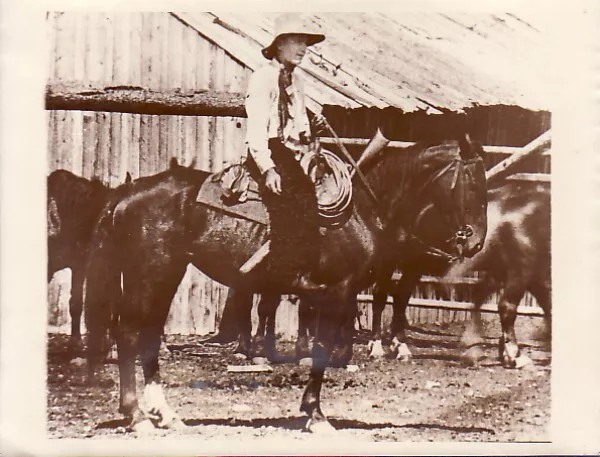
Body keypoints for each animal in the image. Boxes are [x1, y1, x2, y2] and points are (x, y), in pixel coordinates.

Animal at [84, 139, 488, 434]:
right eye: (471, 182)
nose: (476, 243)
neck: (359, 212)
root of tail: (124, 195)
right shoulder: (336, 293)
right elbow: (321, 350)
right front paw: (316, 416)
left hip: (165, 275)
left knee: (148, 336)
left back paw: (164, 414)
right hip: (151, 274)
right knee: (128, 334)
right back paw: (136, 416)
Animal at [368, 179, 552, 366]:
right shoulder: (521, 268)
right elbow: (508, 306)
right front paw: (512, 355)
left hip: (414, 267)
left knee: (401, 298)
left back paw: (401, 347)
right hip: (390, 263)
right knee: (380, 296)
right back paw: (376, 347)